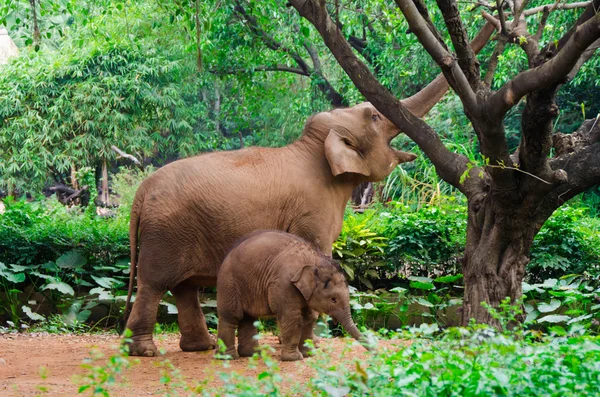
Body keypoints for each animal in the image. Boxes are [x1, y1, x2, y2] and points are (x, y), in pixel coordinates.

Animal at [213, 230, 368, 360]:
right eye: (333, 299)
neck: (313, 258)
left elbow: (309, 317)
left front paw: (308, 354)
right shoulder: (284, 284)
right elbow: (291, 316)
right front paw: (294, 358)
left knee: (248, 318)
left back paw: (253, 354)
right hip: (229, 284)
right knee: (231, 317)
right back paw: (228, 357)